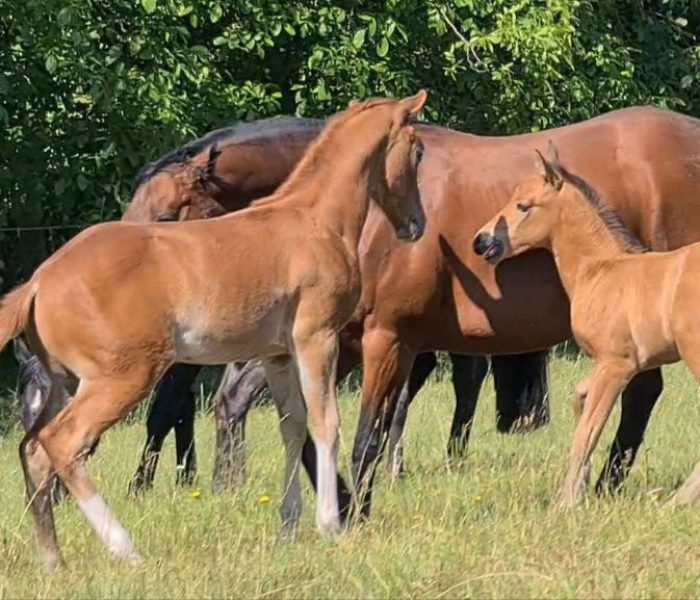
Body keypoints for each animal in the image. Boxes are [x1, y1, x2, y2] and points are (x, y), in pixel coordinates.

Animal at [0, 91, 427, 571]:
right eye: (417, 151)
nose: (417, 224)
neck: (314, 218)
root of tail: (38, 283)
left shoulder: (278, 354)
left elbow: (292, 427)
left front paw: (288, 527)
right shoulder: (316, 337)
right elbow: (325, 423)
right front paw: (329, 526)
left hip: (64, 382)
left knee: (33, 450)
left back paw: (53, 560)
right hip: (122, 377)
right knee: (63, 443)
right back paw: (126, 550)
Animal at [474, 142, 700, 509]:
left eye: (523, 205)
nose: (481, 242)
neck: (599, 270)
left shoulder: (617, 365)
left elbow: (587, 431)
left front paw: (564, 504)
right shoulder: (602, 363)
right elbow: (581, 400)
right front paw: (578, 490)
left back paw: (679, 500)